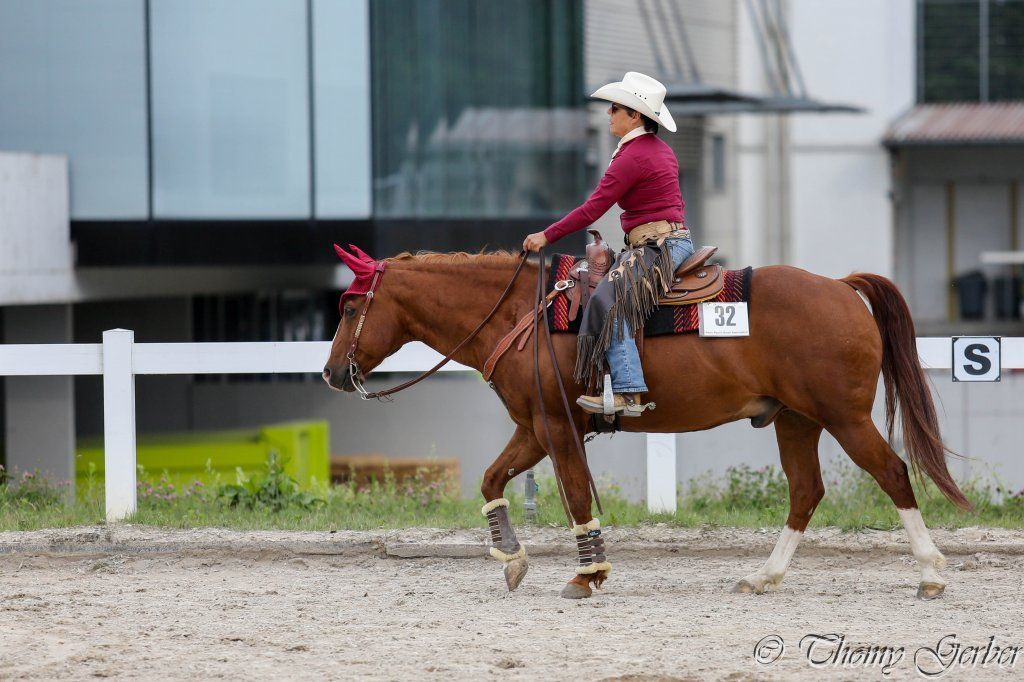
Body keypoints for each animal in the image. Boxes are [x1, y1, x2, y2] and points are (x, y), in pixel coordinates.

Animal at [322, 246, 970, 601]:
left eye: (351, 306)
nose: (331, 373)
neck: (520, 314)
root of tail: (840, 287)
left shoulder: (556, 426)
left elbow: (576, 496)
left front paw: (587, 574)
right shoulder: (533, 427)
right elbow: (491, 478)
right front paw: (511, 556)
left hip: (844, 417)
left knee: (891, 473)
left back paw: (932, 573)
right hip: (796, 421)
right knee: (806, 492)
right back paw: (763, 577)